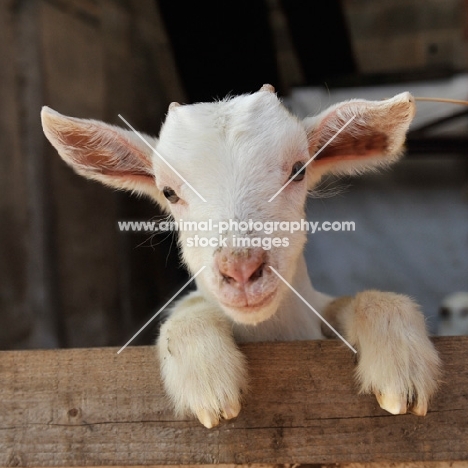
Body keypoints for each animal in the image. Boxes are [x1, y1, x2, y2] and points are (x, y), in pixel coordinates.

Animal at [42, 84, 440, 428]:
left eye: (298, 170)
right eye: (168, 192)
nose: (242, 269)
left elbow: (358, 302)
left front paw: (400, 365)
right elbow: (188, 310)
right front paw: (207, 378)